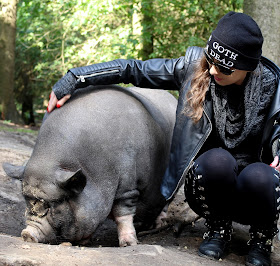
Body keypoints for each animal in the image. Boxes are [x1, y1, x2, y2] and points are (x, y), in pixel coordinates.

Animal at [4, 84, 177, 245]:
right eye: (27, 201)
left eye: (53, 204)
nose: (27, 233)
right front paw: (84, 242)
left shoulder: (128, 187)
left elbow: (123, 214)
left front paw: (128, 244)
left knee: (166, 203)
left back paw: (158, 224)